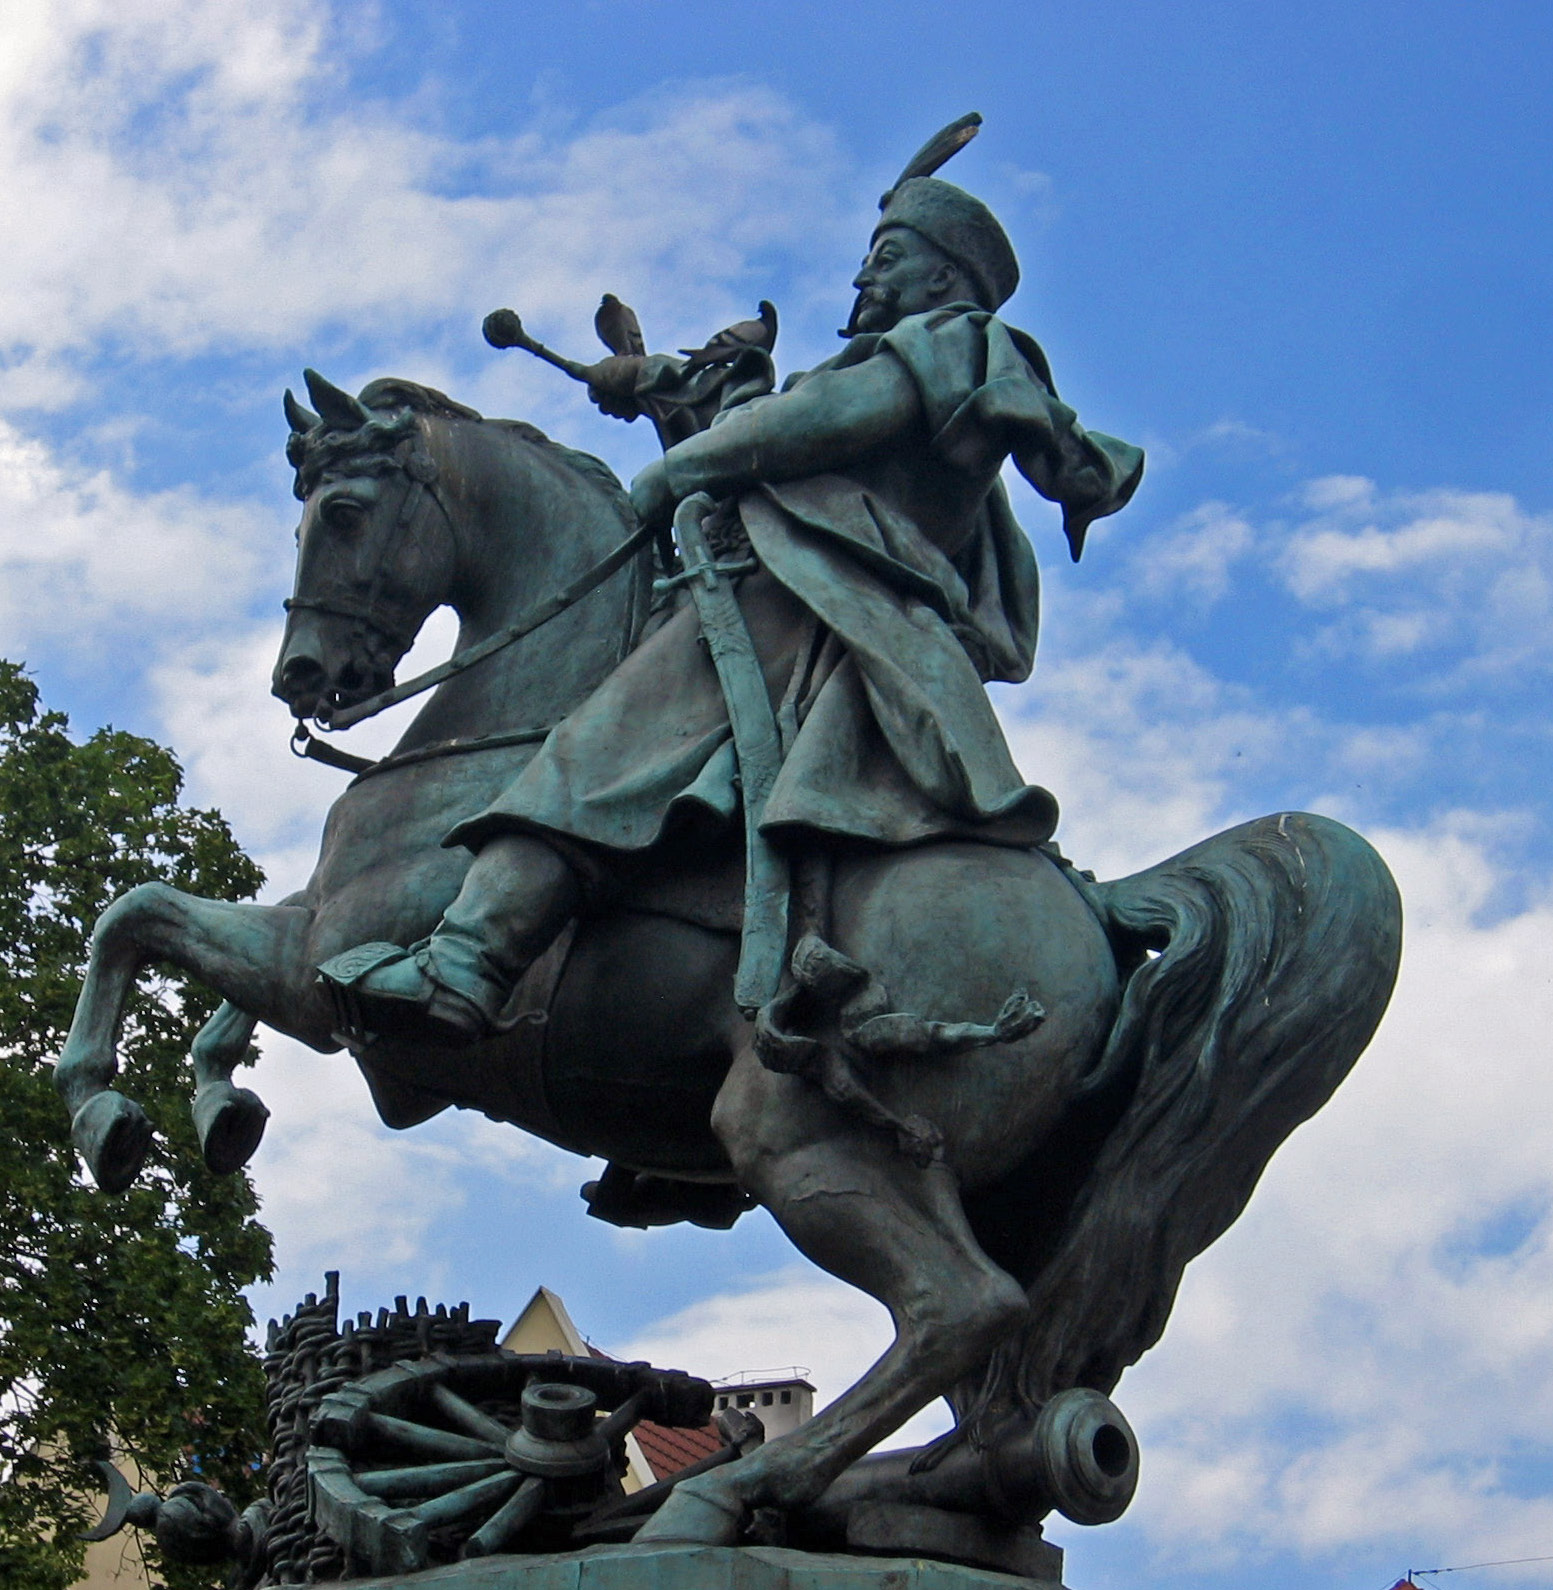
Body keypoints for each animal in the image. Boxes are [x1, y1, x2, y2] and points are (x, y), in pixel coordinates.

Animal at [51, 375, 1405, 1551]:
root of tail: (1100, 917)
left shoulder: (339, 981)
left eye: (338, 509)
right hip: (1014, 1192)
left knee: (960, 1311)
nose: (307, 679)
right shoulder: (311, 947)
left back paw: (726, 1497)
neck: (509, 729)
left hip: (798, 1134)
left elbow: (139, 915)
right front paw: (215, 1104)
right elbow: (178, 944)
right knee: (1015, 1368)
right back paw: (900, 1496)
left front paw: (103, 1112)